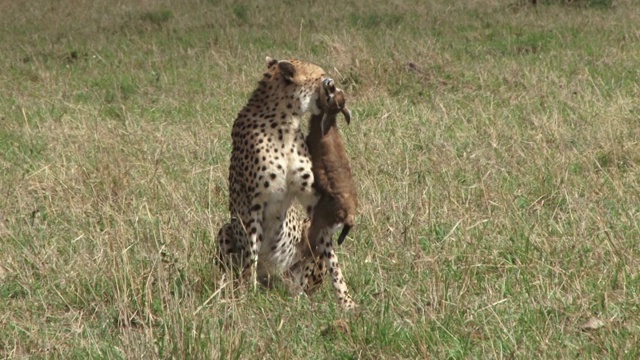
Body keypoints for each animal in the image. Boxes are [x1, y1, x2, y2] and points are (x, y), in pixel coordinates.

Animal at [215, 57, 356, 310]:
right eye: (321, 75)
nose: (332, 84)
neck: (285, 123)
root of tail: (274, 281)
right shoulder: (254, 205)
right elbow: (251, 253)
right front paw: (247, 295)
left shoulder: (313, 201)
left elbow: (334, 261)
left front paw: (347, 302)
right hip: (226, 230)